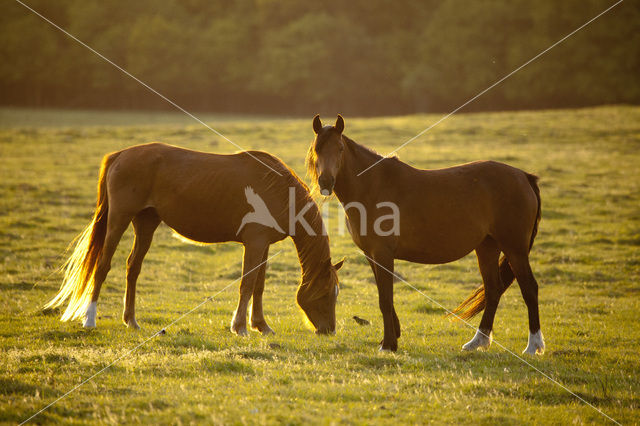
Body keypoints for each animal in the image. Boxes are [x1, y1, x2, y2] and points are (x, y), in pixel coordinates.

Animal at [45, 143, 342, 336]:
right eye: (328, 292)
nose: (329, 330)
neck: (278, 187)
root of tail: (120, 155)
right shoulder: (256, 243)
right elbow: (247, 284)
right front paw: (240, 327)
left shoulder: (264, 245)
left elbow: (258, 286)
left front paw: (261, 325)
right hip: (119, 219)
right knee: (103, 265)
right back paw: (89, 320)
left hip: (146, 224)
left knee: (133, 268)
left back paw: (131, 320)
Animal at [308, 115, 544, 354]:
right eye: (317, 149)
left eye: (339, 149)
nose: (325, 182)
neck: (373, 186)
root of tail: (524, 176)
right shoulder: (371, 255)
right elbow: (385, 298)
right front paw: (390, 339)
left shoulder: (383, 254)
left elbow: (385, 299)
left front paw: (389, 345)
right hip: (487, 247)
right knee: (493, 289)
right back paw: (478, 341)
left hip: (515, 249)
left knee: (529, 288)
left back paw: (533, 346)